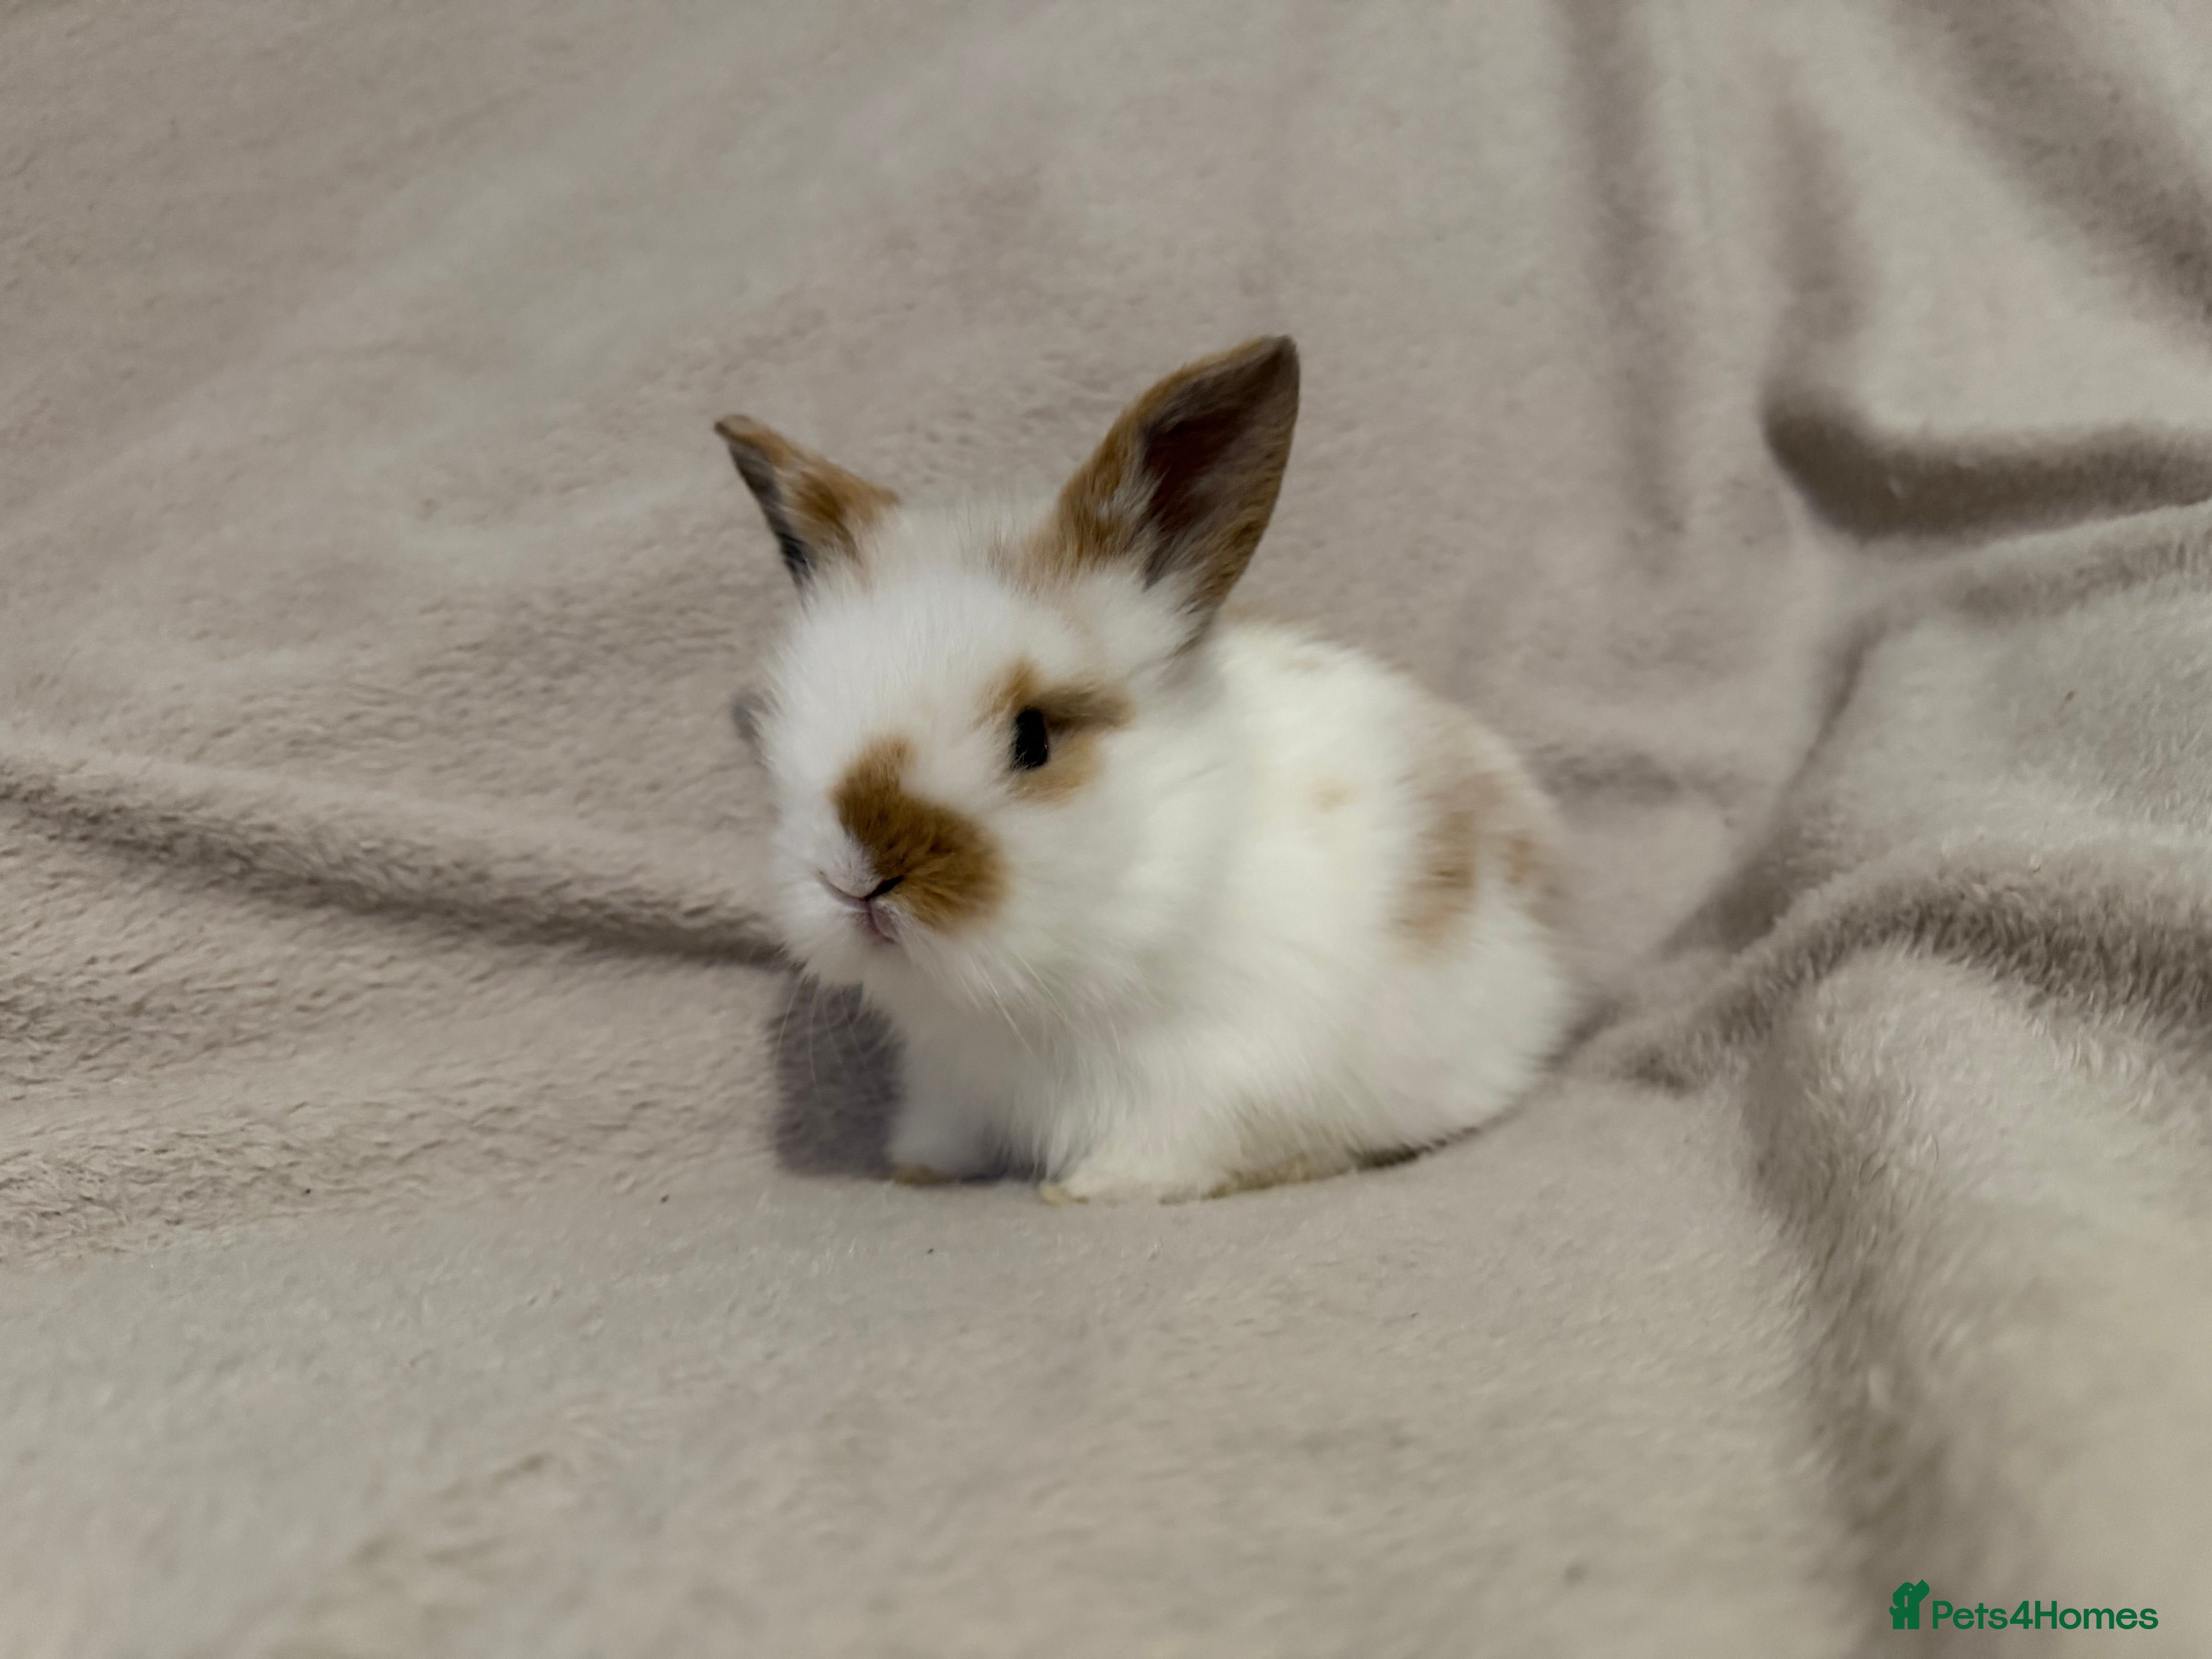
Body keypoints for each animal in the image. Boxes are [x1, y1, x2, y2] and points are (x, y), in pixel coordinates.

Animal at [716, 336, 1573, 1203]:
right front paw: (919, 1170)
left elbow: (1170, 1149)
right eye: (783, 729)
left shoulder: (1215, 1076)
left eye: (1033, 738)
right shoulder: (948, 1081)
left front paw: (1085, 1189)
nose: (856, 880)